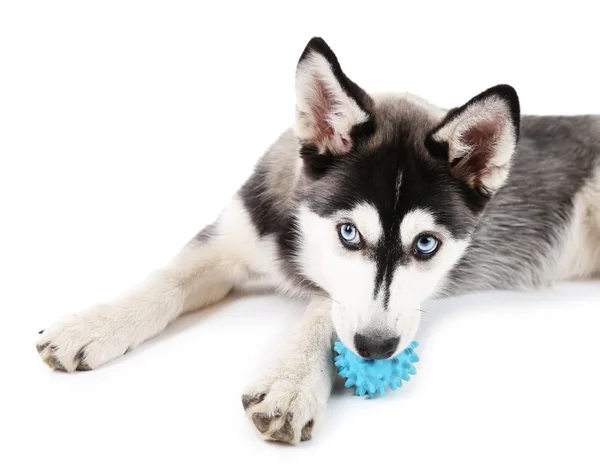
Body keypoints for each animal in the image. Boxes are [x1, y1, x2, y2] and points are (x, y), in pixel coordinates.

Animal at [37, 37, 600, 442]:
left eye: (426, 245)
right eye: (348, 232)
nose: (377, 349)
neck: (300, 245)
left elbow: (325, 312)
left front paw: (291, 382)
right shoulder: (229, 239)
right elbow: (166, 279)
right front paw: (93, 325)